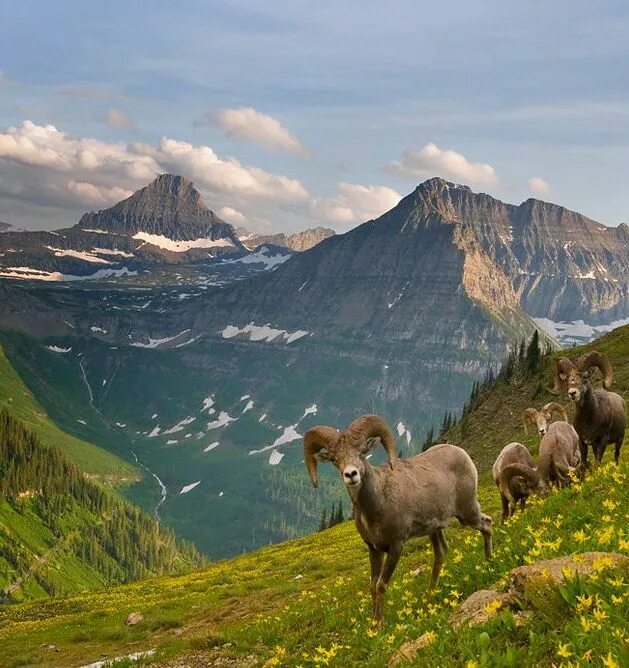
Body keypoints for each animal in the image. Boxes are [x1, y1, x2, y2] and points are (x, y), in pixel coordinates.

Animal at [302, 414, 490, 624]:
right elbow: (372, 586)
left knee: (487, 524)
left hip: (467, 513)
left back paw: (489, 563)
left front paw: (379, 623)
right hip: (435, 530)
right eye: (335, 459)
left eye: (362, 452)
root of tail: (461, 454)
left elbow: (381, 585)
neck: (378, 504)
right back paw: (429, 596)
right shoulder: (374, 549)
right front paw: (373, 623)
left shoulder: (396, 546)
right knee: (440, 554)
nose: (351, 474)